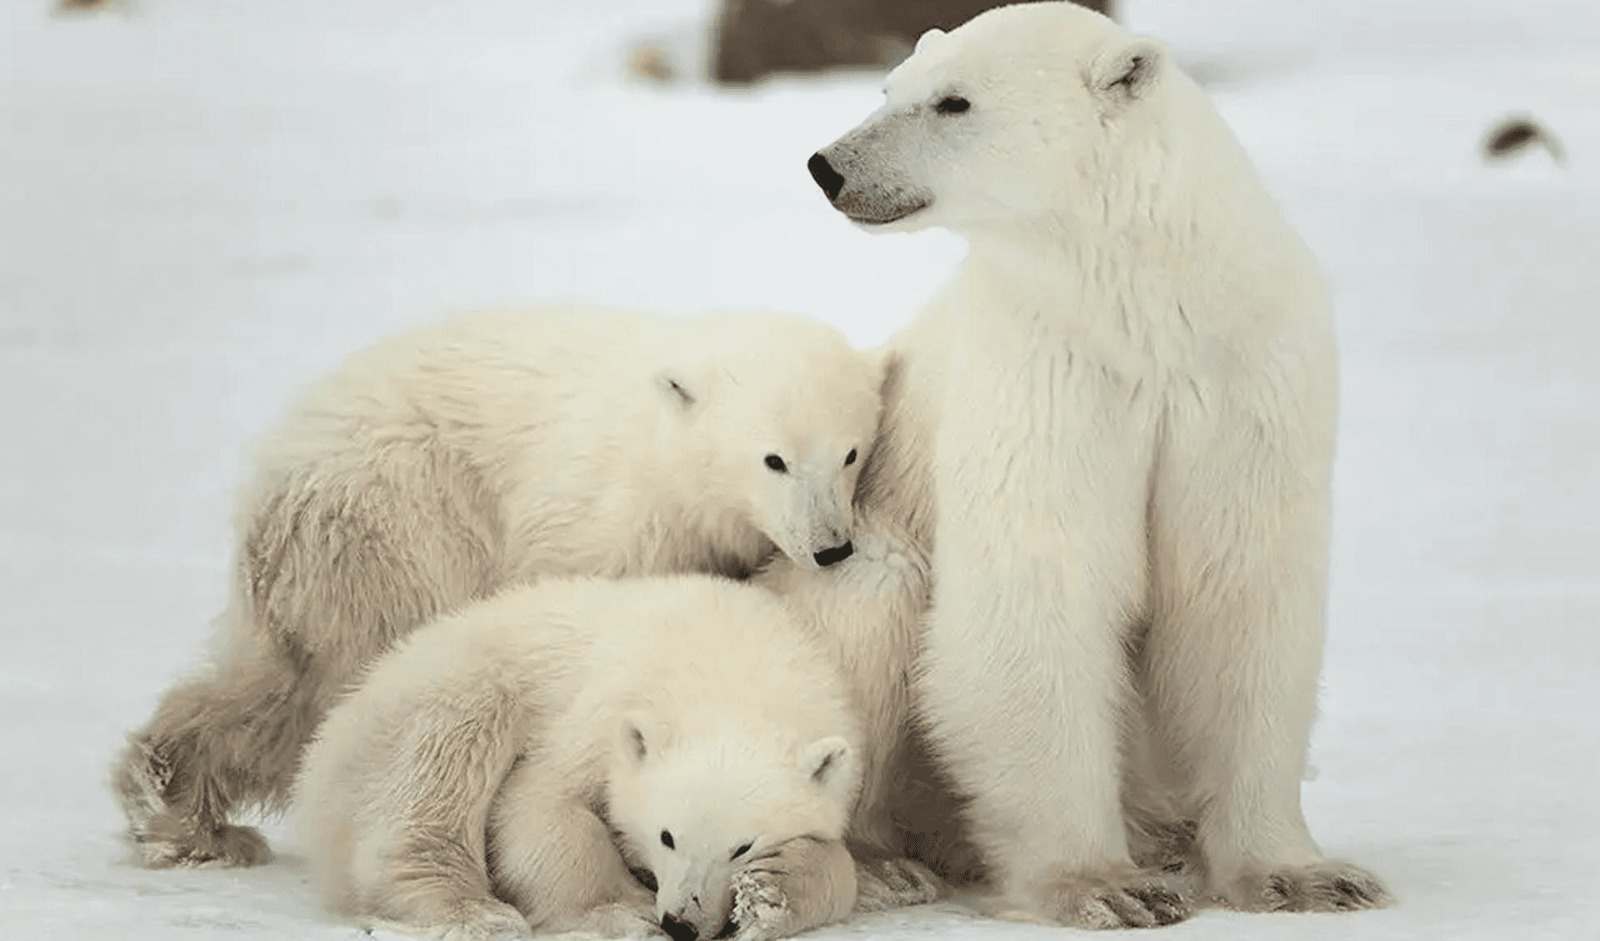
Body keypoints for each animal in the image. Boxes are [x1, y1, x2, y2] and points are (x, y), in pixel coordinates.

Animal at [806, 0, 1395, 928]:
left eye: (953, 101)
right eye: (890, 87)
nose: (828, 166)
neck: (1143, 306)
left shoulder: (1243, 377)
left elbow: (1238, 595)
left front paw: (1304, 875)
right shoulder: (1047, 372)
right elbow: (1042, 590)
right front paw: (1105, 885)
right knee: (873, 601)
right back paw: (880, 863)